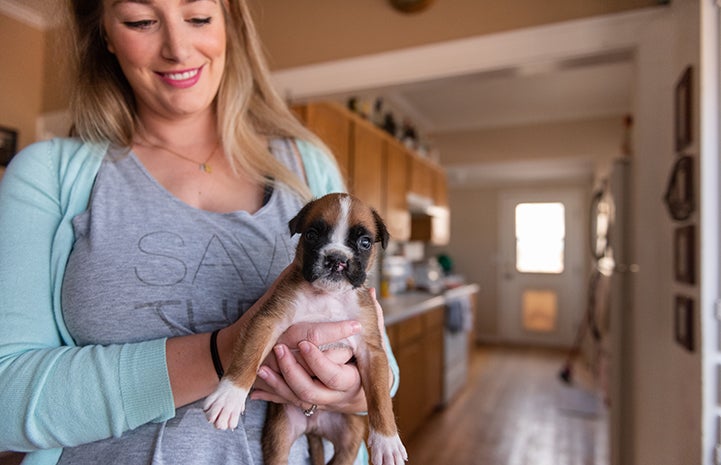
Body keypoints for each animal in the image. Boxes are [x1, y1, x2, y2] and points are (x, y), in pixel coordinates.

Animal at [204, 193, 404, 464]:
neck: (328, 296)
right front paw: (230, 396)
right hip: (279, 436)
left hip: (349, 438)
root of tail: (314, 426)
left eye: (364, 242)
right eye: (311, 235)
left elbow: (381, 396)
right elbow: (247, 356)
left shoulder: (372, 352)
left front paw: (387, 440)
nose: (336, 259)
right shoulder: (268, 321)